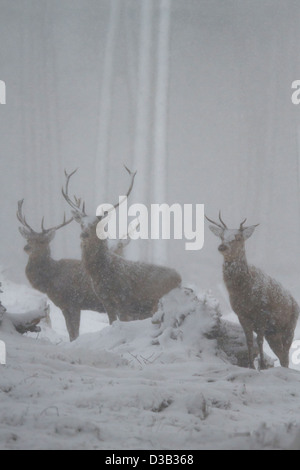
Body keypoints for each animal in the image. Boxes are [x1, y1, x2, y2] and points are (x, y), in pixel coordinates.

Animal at [62, 165, 182, 324]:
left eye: (96, 224)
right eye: (82, 224)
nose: (83, 235)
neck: (102, 273)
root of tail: (180, 279)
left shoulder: (124, 300)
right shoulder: (106, 301)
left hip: (158, 302)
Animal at [207, 213, 298, 370]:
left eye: (238, 237)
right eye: (222, 237)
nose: (222, 247)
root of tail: (294, 301)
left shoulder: (262, 313)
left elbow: (259, 341)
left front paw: (262, 366)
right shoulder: (241, 315)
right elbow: (249, 341)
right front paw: (251, 366)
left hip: (290, 326)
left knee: (285, 354)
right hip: (273, 333)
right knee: (281, 355)